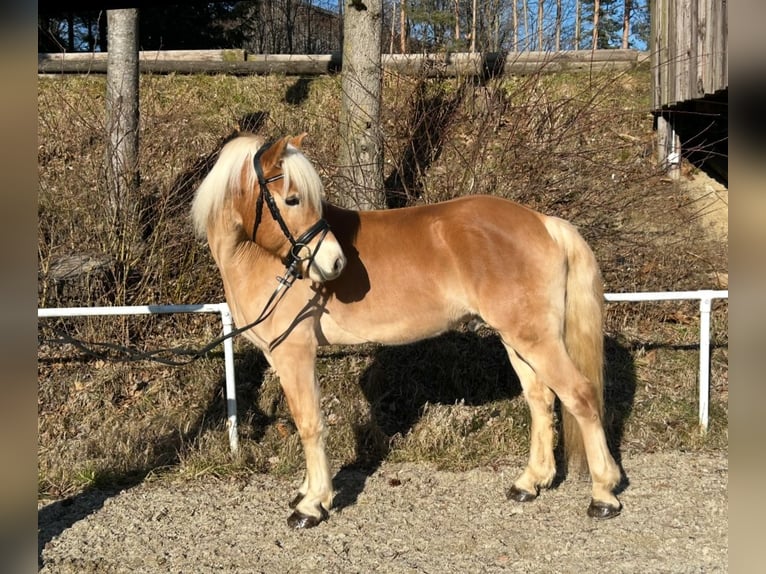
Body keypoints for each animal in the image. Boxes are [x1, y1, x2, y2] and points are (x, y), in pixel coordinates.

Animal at [194, 135, 624, 532]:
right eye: (294, 199)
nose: (335, 263)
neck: (259, 261)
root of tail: (544, 222)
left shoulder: (295, 352)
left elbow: (309, 423)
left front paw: (312, 504)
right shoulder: (278, 354)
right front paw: (305, 492)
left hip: (535, 339)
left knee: (580, 396)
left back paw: (603, 495)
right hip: (518, 339)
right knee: (541, 400)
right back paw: (529, 483)